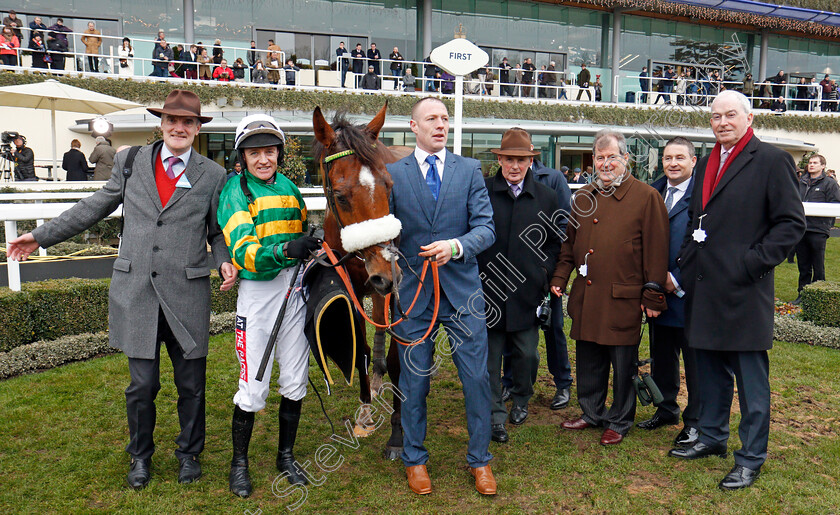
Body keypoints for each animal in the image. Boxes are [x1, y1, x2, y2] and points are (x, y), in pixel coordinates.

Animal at [312, 104, 410, 460]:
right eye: (340, 196)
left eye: (389, 185)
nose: (387, 272)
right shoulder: (354, 287)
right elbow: (363, 347)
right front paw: (365, 411)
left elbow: (396, 354)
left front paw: (397, 432)